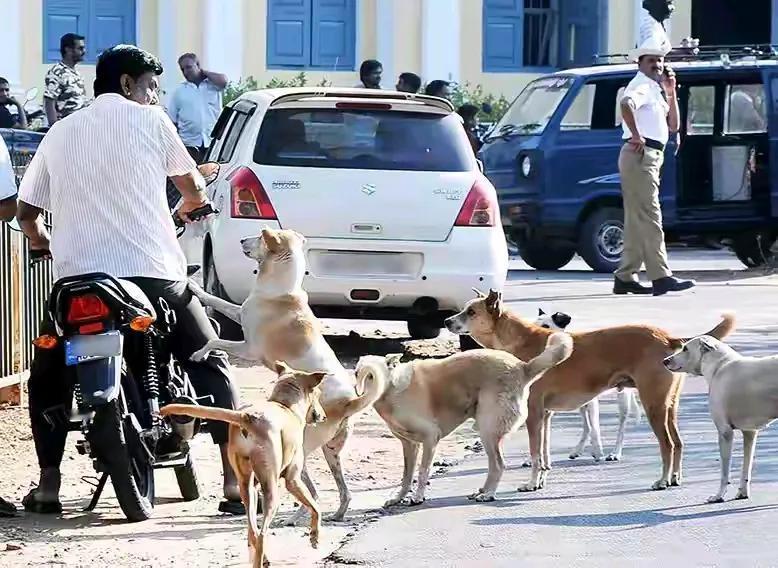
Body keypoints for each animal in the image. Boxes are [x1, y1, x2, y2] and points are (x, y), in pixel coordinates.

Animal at [159, 364, 326, 568]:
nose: (324, 416)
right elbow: (315, 507)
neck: (285, 407)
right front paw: (315, 536)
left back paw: (261, 557)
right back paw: (261, 560)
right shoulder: (293, 480)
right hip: (271, 491)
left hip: (248, 488)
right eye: (318, 393)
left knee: (252, 531)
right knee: (261, 535)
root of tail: (248, 417)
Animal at [354, 332, 572, 502]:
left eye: (372, 375)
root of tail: (522, 367)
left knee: (499, 465)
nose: (359, 392)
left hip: (487, 430)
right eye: (358, 373)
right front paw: (399, 497)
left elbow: (423, 471)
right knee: (495, 465)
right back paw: (484, 491)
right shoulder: (409, 445)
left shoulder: (430, 438)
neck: (393, 387)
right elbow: (406, 476)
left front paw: (418, 497)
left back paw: (489, 494)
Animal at [532, 306, 644, 462]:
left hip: (622, 399)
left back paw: (615, 453)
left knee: (620, 425)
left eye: (545, 326)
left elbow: (595, 428)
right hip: (580, 404)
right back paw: (578, 450)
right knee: (586, 425)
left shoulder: (591, 402)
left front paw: (598, 451)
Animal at [660, 336, 776, 504]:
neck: (720, 366)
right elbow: (746, 468)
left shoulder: (725, 432)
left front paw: (719, 496)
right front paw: (742, 493)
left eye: (685, 349)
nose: (665, 361)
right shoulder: (749, 433)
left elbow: (724, 472)